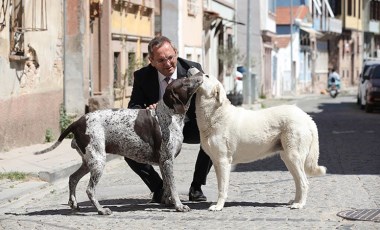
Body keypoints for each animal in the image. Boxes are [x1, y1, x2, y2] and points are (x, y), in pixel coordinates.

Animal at [34, 74, 203, 215]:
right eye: (185, 81)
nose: (201, 73)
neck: (169, 114)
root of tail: (78, 121)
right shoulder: (168, 161)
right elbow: (173, 186)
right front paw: (179, 206)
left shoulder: (163, 163)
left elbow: (168, 186)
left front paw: (168, 202)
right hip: (98, 161)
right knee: (89, 189)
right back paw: (101, 210)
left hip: (89, 161)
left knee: (72, 178)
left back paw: (74, 204)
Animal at [193, 71, 326, 211]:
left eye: (206, 76)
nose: (194, 69)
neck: (215, 113)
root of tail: (307, 117)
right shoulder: (216, 162)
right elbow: (220, 186)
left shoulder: (223, 161)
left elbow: (222, 188)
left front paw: (218, 206)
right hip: (288, 158)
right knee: (298, 181)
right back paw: (295, 201)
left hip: (294, 157)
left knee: (304, 182)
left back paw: (300, 204)